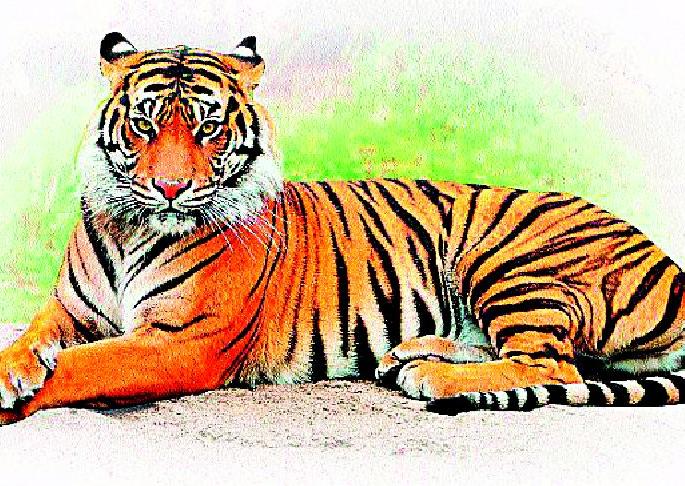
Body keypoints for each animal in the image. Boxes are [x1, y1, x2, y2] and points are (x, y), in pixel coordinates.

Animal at [1, 32, 685, 424]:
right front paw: (15, 367)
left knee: (554, 368)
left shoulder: (180, 342)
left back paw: (432, 376)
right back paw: (411, 354)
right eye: (144, 124)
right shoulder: (69, 308)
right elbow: (36, 337)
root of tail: (673, 268)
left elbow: (82, 367)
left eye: (208, 128)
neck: (131, 228)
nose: (170, 189)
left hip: (509, 262)